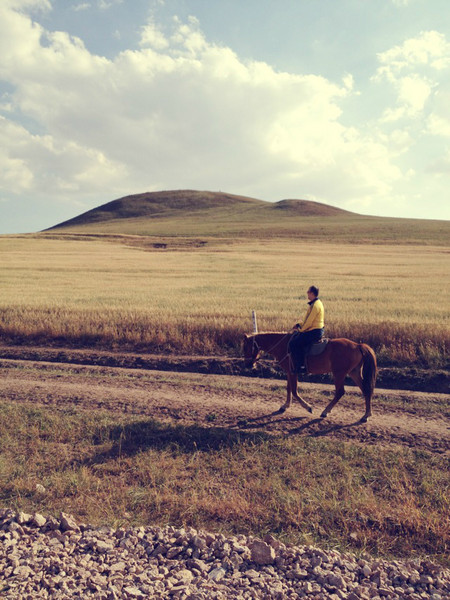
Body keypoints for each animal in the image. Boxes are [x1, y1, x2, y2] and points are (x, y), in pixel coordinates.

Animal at [243, 332, 376, 422]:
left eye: (246, 347)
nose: (248, 364)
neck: (283, 345)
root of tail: (358, 345)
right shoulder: (290, 372)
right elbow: (289, 389)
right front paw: (285, 406)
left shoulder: (292, 372)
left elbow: (294, 391)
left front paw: (308, 407)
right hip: (354, 372)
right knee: (366, 389)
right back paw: (366, 415)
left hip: (339, 374)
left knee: (340, 392)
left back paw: (325, 411)